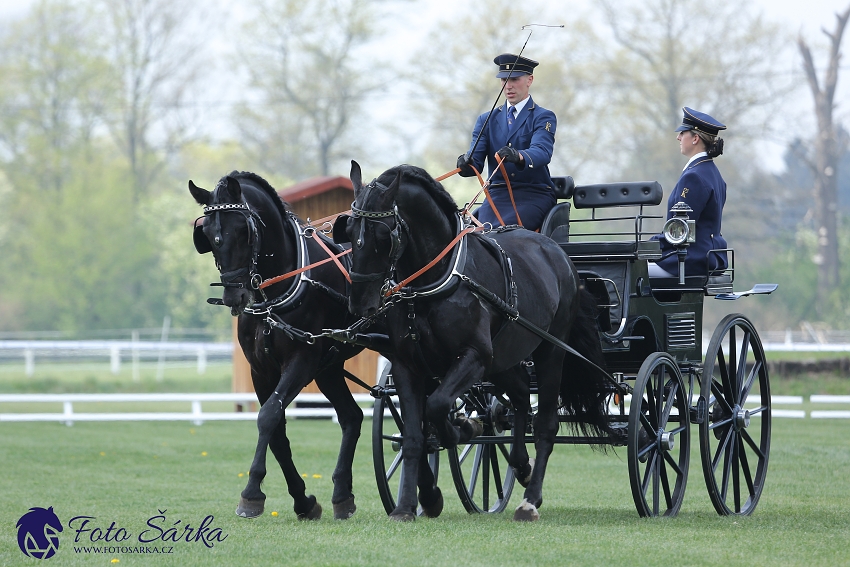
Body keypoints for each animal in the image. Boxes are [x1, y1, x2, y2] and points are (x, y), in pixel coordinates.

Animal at [189, 174, 364, 524]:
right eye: (209, 237)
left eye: (244, 230)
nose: (234, 296)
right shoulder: (261, 369)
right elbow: (278, 431)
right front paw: (303, 500)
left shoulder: (302, 360)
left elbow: (268, 416)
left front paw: (251, 493)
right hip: (329, 368)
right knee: (352, 417)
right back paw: (342, 495)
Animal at [338, 162, 608, 520]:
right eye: (349, 230)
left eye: (384, 235)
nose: (360, 304)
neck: (436, 280)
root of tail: (559, 255)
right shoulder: (408, 365)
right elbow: (412, 436)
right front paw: (411, 504)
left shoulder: (474, 357)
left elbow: (438, 406)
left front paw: (462, 429)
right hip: (504, 359)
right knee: (520, 398)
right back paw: (521, 465)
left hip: (549, 352)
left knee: (545, 424)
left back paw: (530, 500)